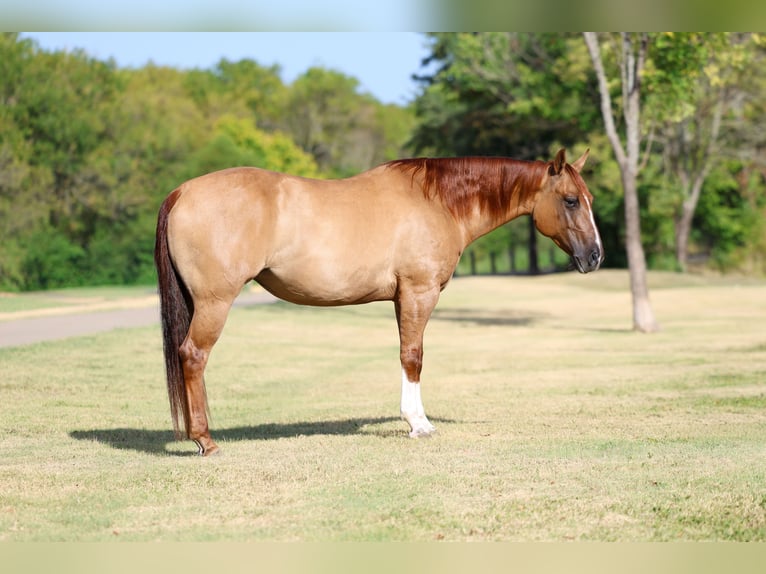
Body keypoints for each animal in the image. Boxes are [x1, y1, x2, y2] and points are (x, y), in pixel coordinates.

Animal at [154, 148, 603, 456]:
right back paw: (205, 441)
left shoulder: (401, 297)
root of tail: (181, 191)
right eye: (570, 200)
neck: (436, 202)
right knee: (193, 355)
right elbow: (413, 357)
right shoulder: (419, 292)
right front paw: (419, 424)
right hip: (214, 303)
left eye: (589, 199)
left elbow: (407, 354)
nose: (596, 256)